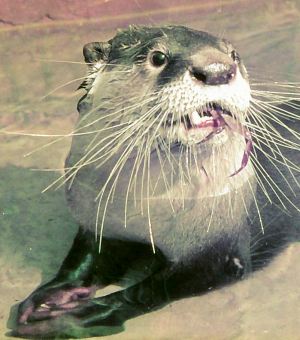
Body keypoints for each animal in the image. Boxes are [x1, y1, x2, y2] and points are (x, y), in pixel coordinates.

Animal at [11, 25, 300, 338]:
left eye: (234, 54)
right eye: (158, 57)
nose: (218, 70)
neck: (148, 206)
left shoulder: (221, 251)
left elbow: (147, 291)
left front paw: (79, 316)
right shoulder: (100, 223)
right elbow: (83, 259)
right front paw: (51, 295)